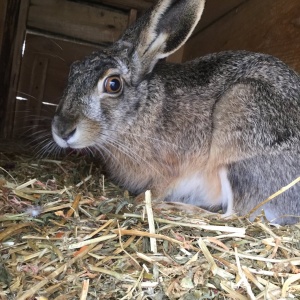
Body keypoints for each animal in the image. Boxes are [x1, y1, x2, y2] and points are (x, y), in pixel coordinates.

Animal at [51, 0, 300, 225]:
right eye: (72, 72)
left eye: (114, 84)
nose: (62, 131)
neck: (140, 111)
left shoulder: (169, 171)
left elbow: (156, 189)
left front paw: (141, 201)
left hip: (240, 134)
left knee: (234, 215)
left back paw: (174, 207)